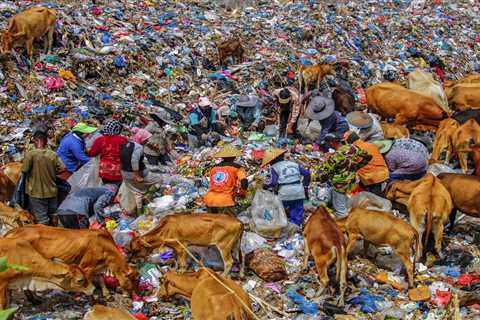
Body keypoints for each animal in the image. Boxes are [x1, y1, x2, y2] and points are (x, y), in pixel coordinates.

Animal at [5, 225, 137, 296]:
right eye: (132, 279)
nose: (133, 294)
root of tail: (12, 231)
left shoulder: (97, 266)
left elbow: (100, 279)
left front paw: (106, 294)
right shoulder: (86, 266)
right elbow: (90, 283)